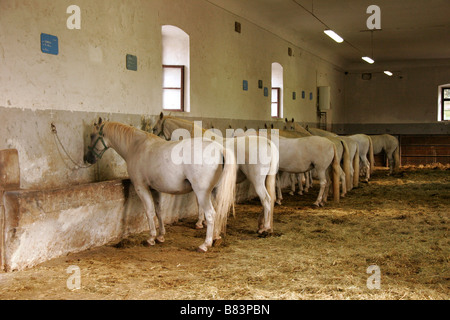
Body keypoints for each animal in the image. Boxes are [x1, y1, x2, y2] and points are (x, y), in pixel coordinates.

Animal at [85, 117, 237, 252]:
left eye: (92, 135)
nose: (87, 158)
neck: (136, 146)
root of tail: (220, 149)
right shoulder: (155, 189)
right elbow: (158, 211)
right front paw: (160, 236)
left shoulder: (141, 188)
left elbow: (149, 211)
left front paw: (151, 238)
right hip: (215, 191)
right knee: (218, 212)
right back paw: (216, 237)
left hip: (202, 193)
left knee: (211, 214)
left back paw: (205, 244)